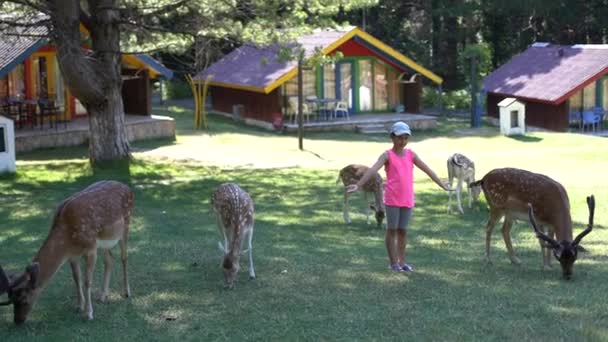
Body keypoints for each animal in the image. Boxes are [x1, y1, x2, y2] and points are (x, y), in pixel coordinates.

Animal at [0, 180, 133, 324]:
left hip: (126, 225)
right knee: (109, 259)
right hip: (106, 240)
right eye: (12, 300)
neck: (68, 238)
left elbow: (87, 281)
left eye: (24, 299)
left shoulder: (91, 248)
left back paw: (126, 292)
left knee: (124, 258)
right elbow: (76, 278)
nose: (17, 320)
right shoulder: (72, 255)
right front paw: (79, 306)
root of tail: (127, 187)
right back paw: (103, 296)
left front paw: (89, 314)